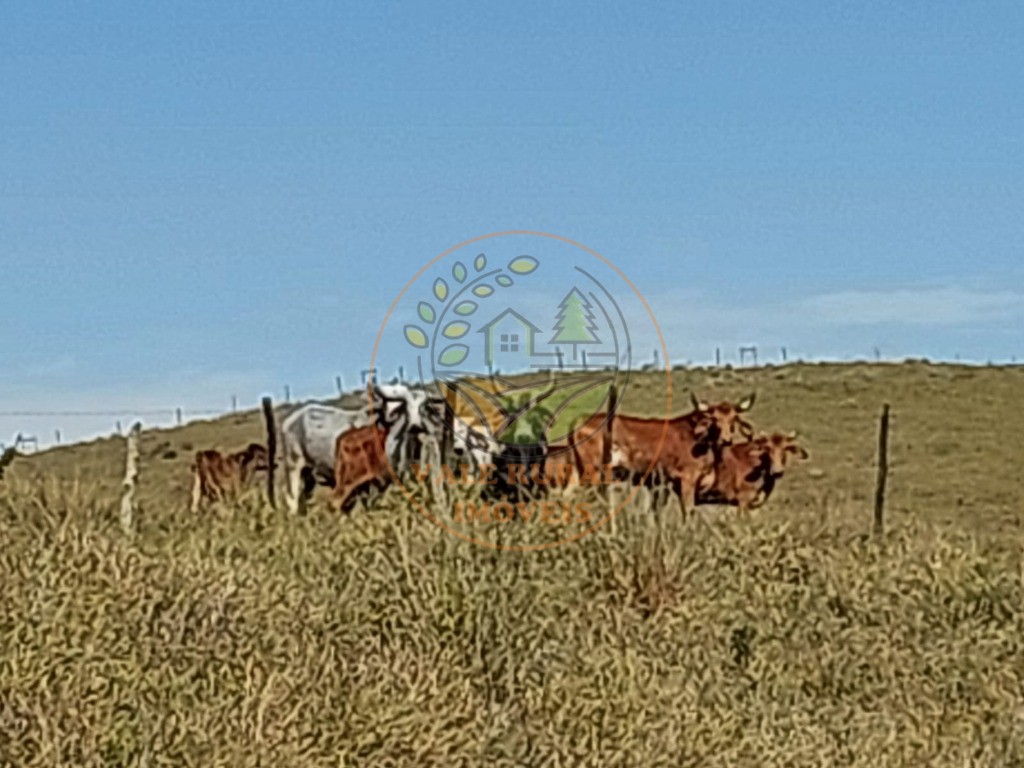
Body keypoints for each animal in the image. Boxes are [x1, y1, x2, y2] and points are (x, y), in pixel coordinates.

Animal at [573, 393, 757, 514]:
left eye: (734, 419)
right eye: (715, 419)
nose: (726, 440)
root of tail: (580, 421)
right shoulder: (687, 481)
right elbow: (688, 512)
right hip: (594, 474)